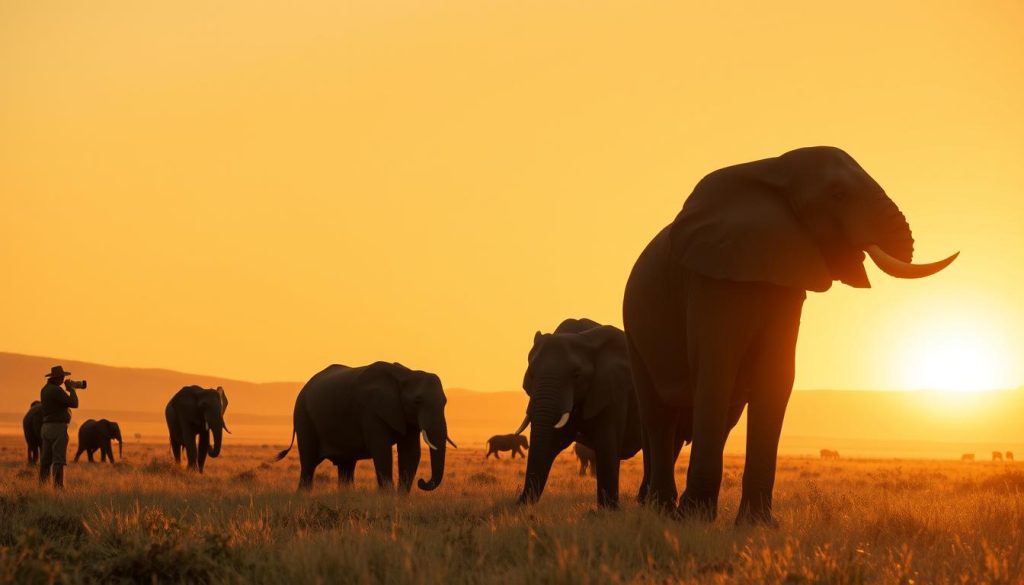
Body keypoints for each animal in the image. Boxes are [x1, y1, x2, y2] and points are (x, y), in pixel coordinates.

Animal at [275, 361, 457, 492]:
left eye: (445, 402)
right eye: (417, 401)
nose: (422, 481)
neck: (405, 375)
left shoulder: (405, 414)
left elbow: (410, 453)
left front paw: (401, 499)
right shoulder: (371, 411)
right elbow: (381, 450)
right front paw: (387, 497)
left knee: (346, 464)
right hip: (303, 416)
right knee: (308, 462)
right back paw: (304, 495)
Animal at [514, 318, 643, 508]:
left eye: (576, 375)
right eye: (531, 374)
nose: (517, 500)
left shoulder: (613, 389)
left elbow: (607, 443)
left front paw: (609, 511)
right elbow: (552, 442)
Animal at [623, 146, 958, 524]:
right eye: (837, 195)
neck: (774, 170)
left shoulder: (788, 279)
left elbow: (777, 374)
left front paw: (757, 526)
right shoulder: (709, 278)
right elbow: (716, 367)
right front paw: (692, 520)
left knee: (724, 418)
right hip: (635, 328)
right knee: (658, 415)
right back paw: (663, 511)